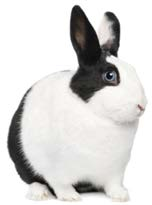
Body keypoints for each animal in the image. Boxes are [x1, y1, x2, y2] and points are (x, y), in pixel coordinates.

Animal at [7, 5, 147, 203]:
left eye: (134, 70)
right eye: (110, 76)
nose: (141, 105)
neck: (98, 115)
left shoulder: (116, 171)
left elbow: (113, 184)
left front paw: (121, 196)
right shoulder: (55, 170)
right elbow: (60, 185)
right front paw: (70, 197)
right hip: (20, 158)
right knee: (31, 179)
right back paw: (39, 193)